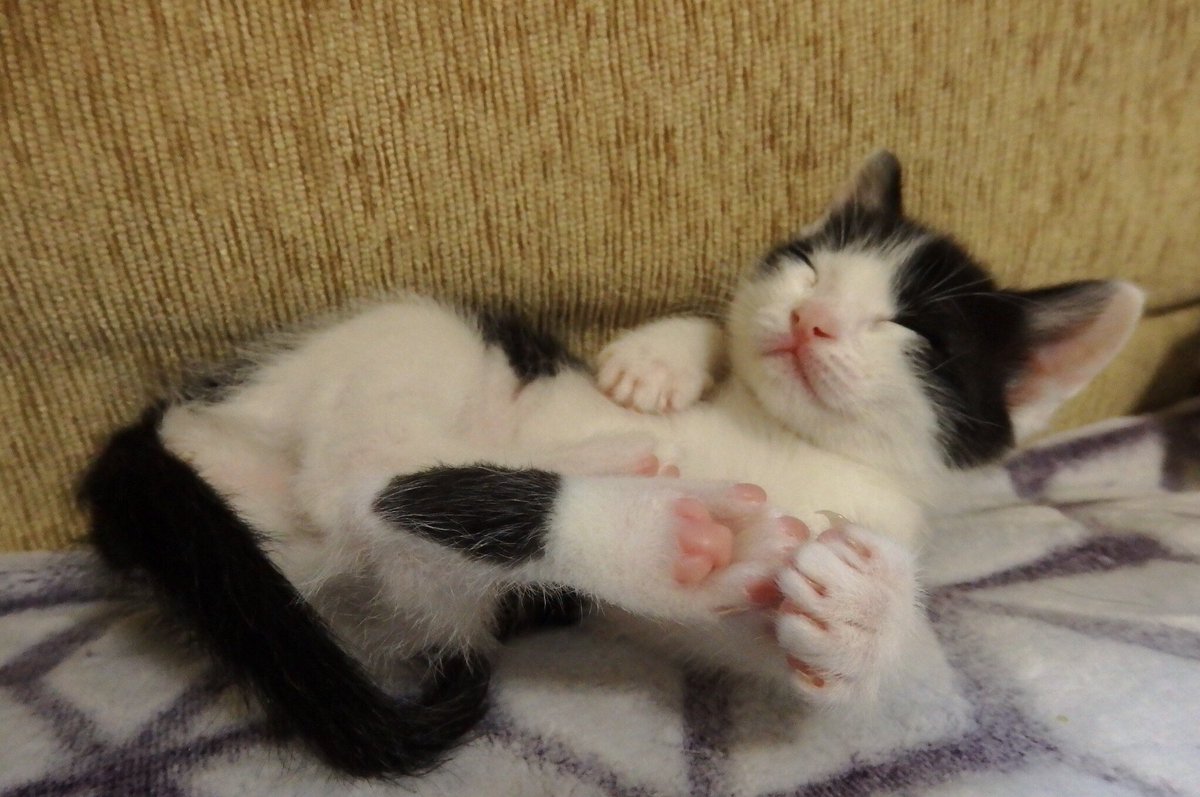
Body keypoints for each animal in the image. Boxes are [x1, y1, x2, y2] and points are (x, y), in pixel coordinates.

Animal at [80, 151, 1143, 779]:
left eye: (915, 330)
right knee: (369, 478)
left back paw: (667, 522)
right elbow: (700, 330)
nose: (811, 320)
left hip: (416, 588)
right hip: (410, 340)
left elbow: (785, 631)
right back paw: (644, 485)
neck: (789, 442)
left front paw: (863, 613)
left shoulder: (815, 550)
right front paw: (656, 363)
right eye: (806, 265)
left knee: (382, 514)